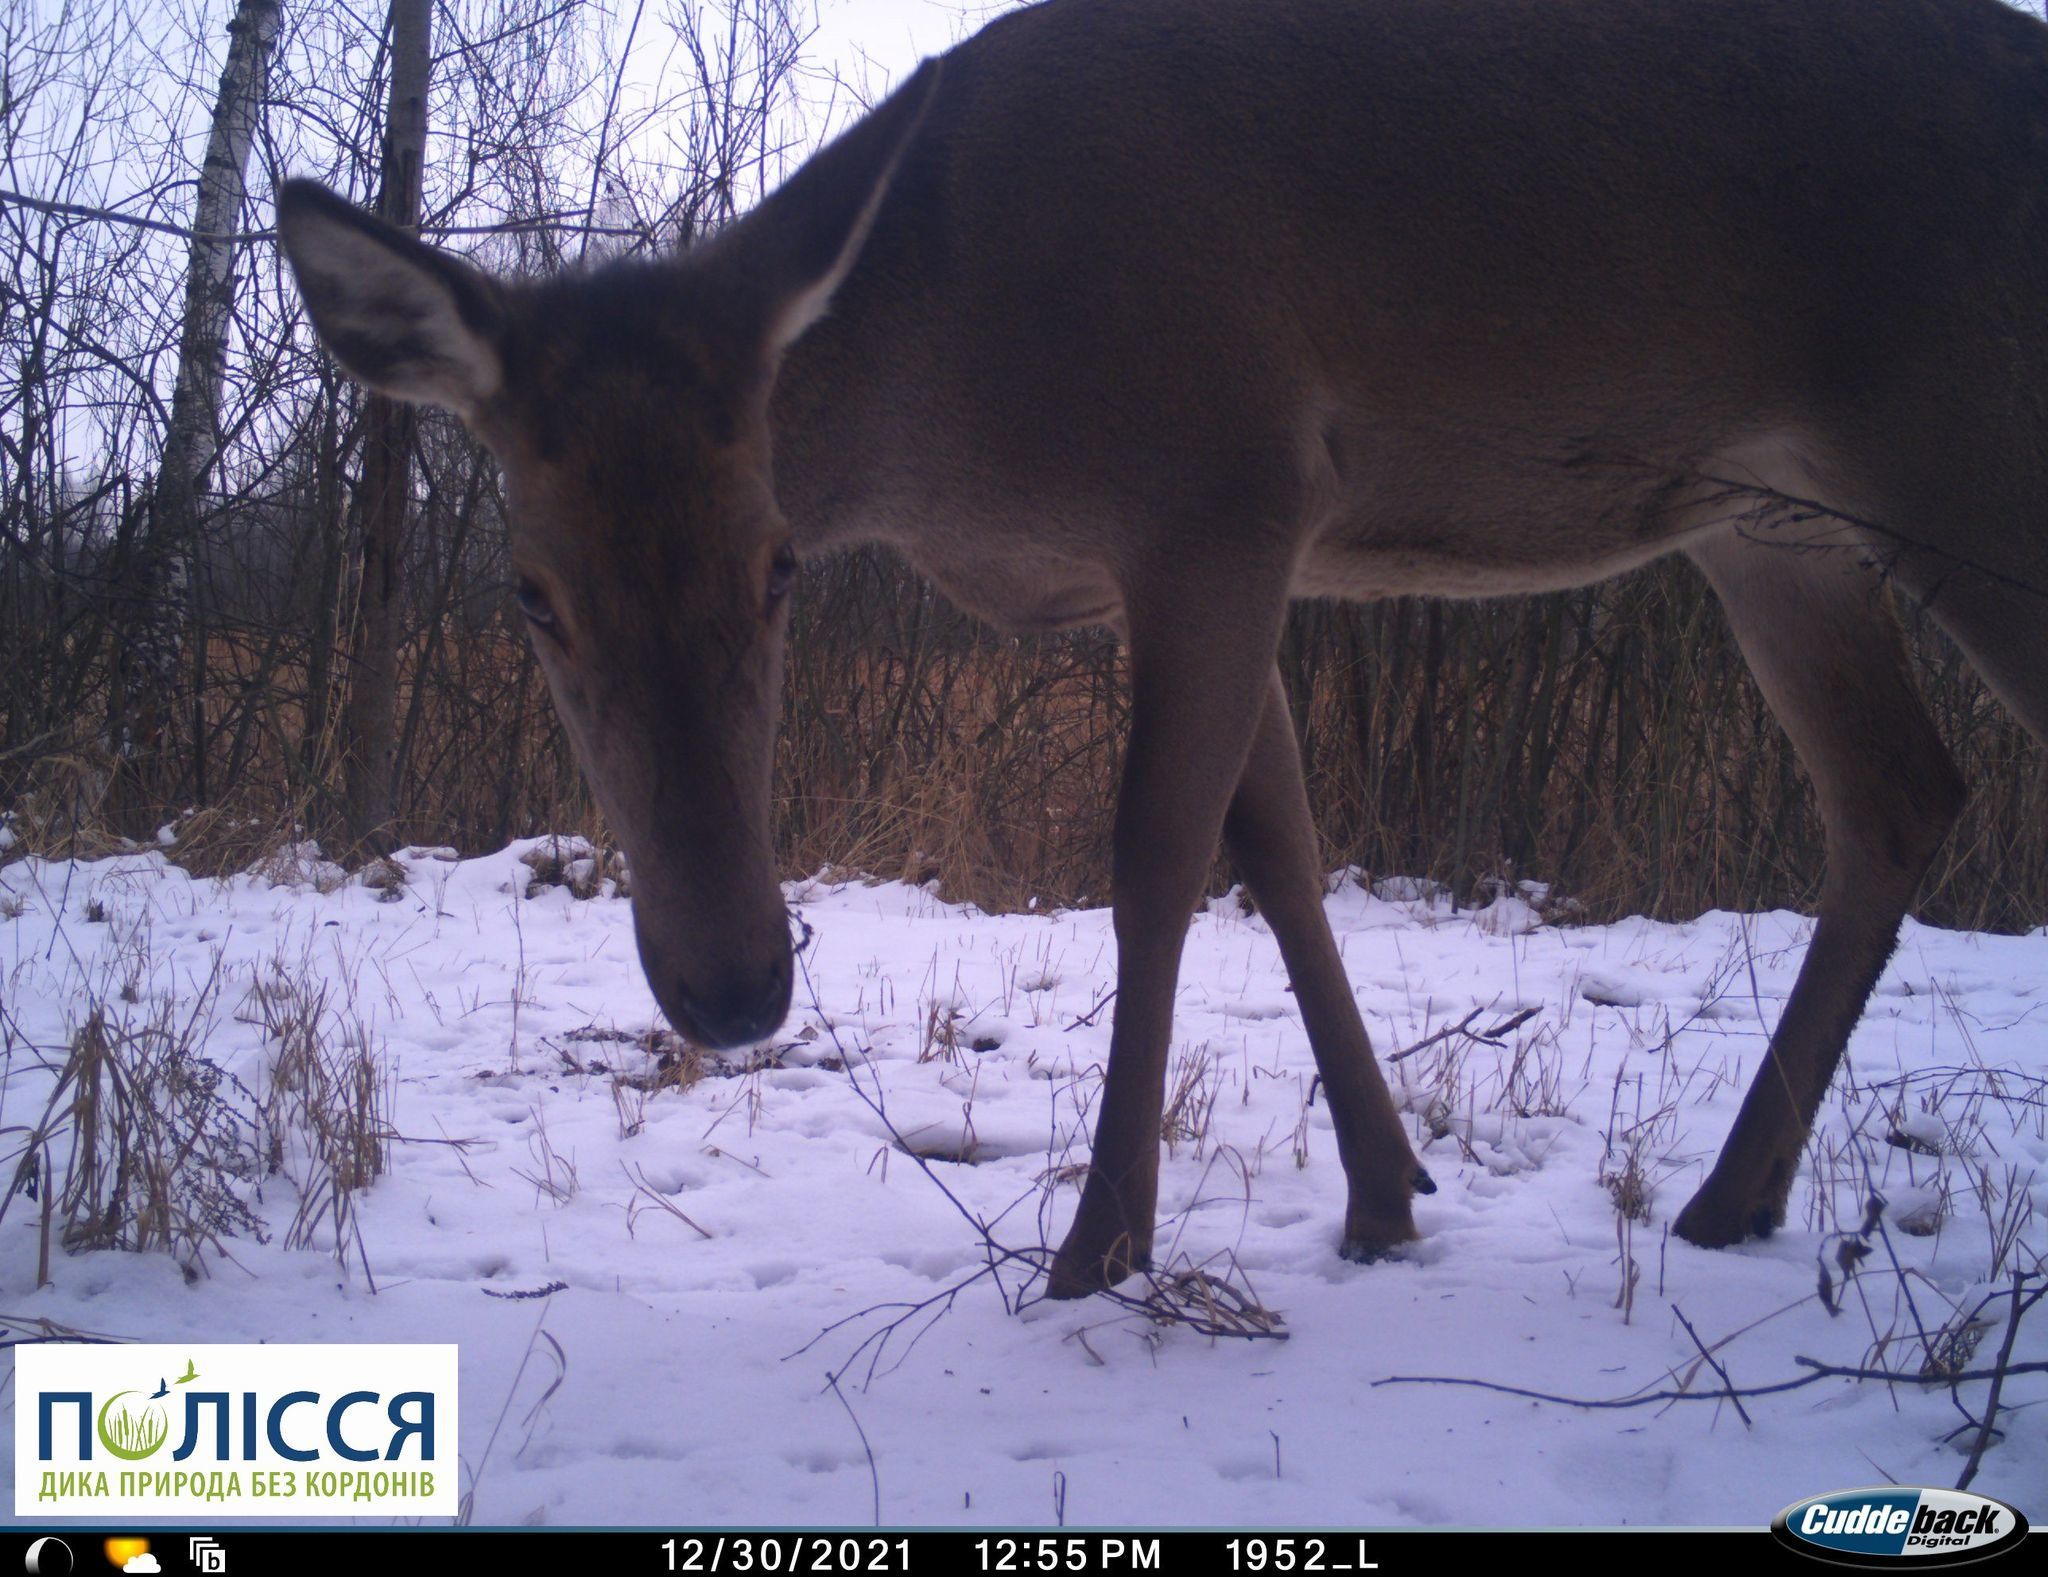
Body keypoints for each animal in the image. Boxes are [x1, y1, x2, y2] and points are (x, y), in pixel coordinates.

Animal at [279, 0, 2048, 1299]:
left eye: (781, 564)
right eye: (530, 592)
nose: (730, 985)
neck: (963, 404)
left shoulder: (1222, 483)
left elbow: (1154, 858)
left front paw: (1099, 1244)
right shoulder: (1200, 554)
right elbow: (1285, 853)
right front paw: (1385, 1190)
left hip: (1967, 443)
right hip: (1770, 526)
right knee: (1900, 789)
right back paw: (1732, 1198)